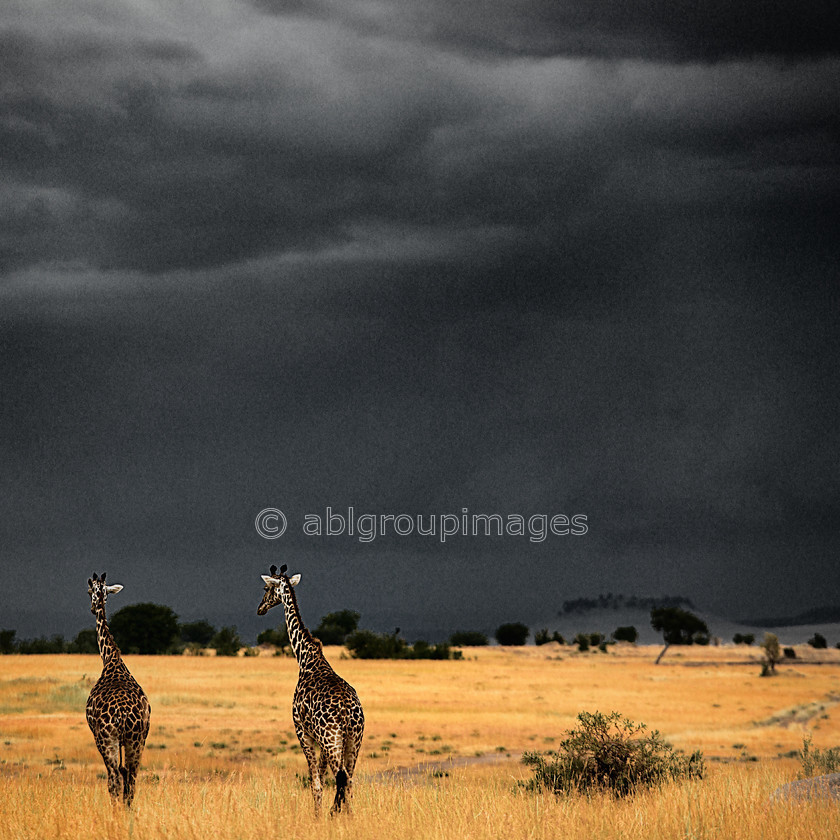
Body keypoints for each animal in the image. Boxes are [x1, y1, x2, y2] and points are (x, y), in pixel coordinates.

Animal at [86, 572, 152, 808]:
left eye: (89, 590)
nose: (93, 608)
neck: (111, 660)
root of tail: (123, 714)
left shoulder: (98, 735)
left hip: (108, 739)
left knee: (114, 778)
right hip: (137, 739)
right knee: (131, 779)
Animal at [254, 564, 362, 812]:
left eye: (266, 588)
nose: (260, 608)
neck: (305, 659)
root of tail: (348, 713)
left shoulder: (303, 731)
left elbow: (316, 783)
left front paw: (317, 815)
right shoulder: (319, 739)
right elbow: (321, 779)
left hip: (332, 739)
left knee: (341, 777)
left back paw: (333, 813)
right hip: (353, 741)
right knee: (350, 781)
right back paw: (348, 815)